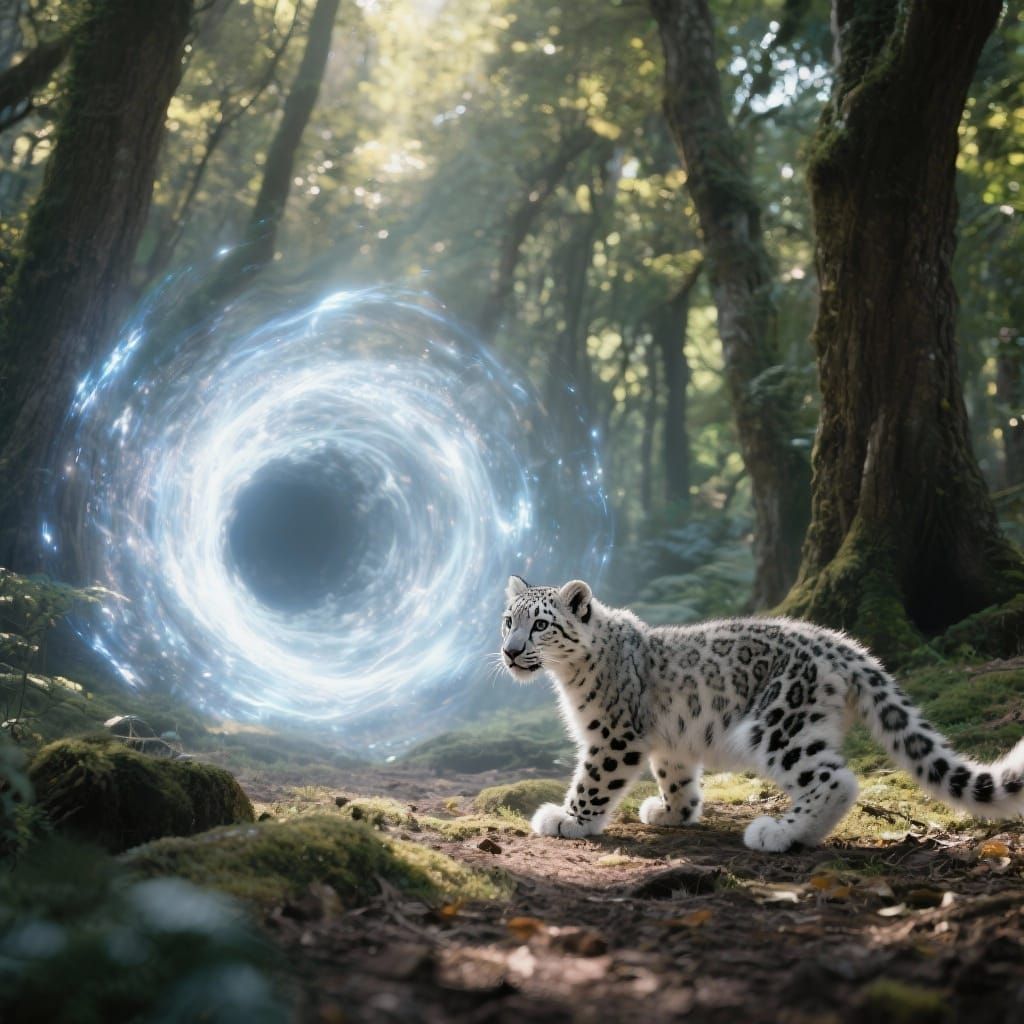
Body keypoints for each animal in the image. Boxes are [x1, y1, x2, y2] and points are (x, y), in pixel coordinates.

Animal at [500, 575, 1024, 851]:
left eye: (540, 624)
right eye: (508, 620)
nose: (510, 651)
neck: (567, 678)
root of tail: (842, 644)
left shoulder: (612, 735)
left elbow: (593, 779)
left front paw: (568, 820)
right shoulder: (670, 740)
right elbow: (677, 776)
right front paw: (674, 812)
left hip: (779, 724)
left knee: (834, 779)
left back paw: (778, 832)